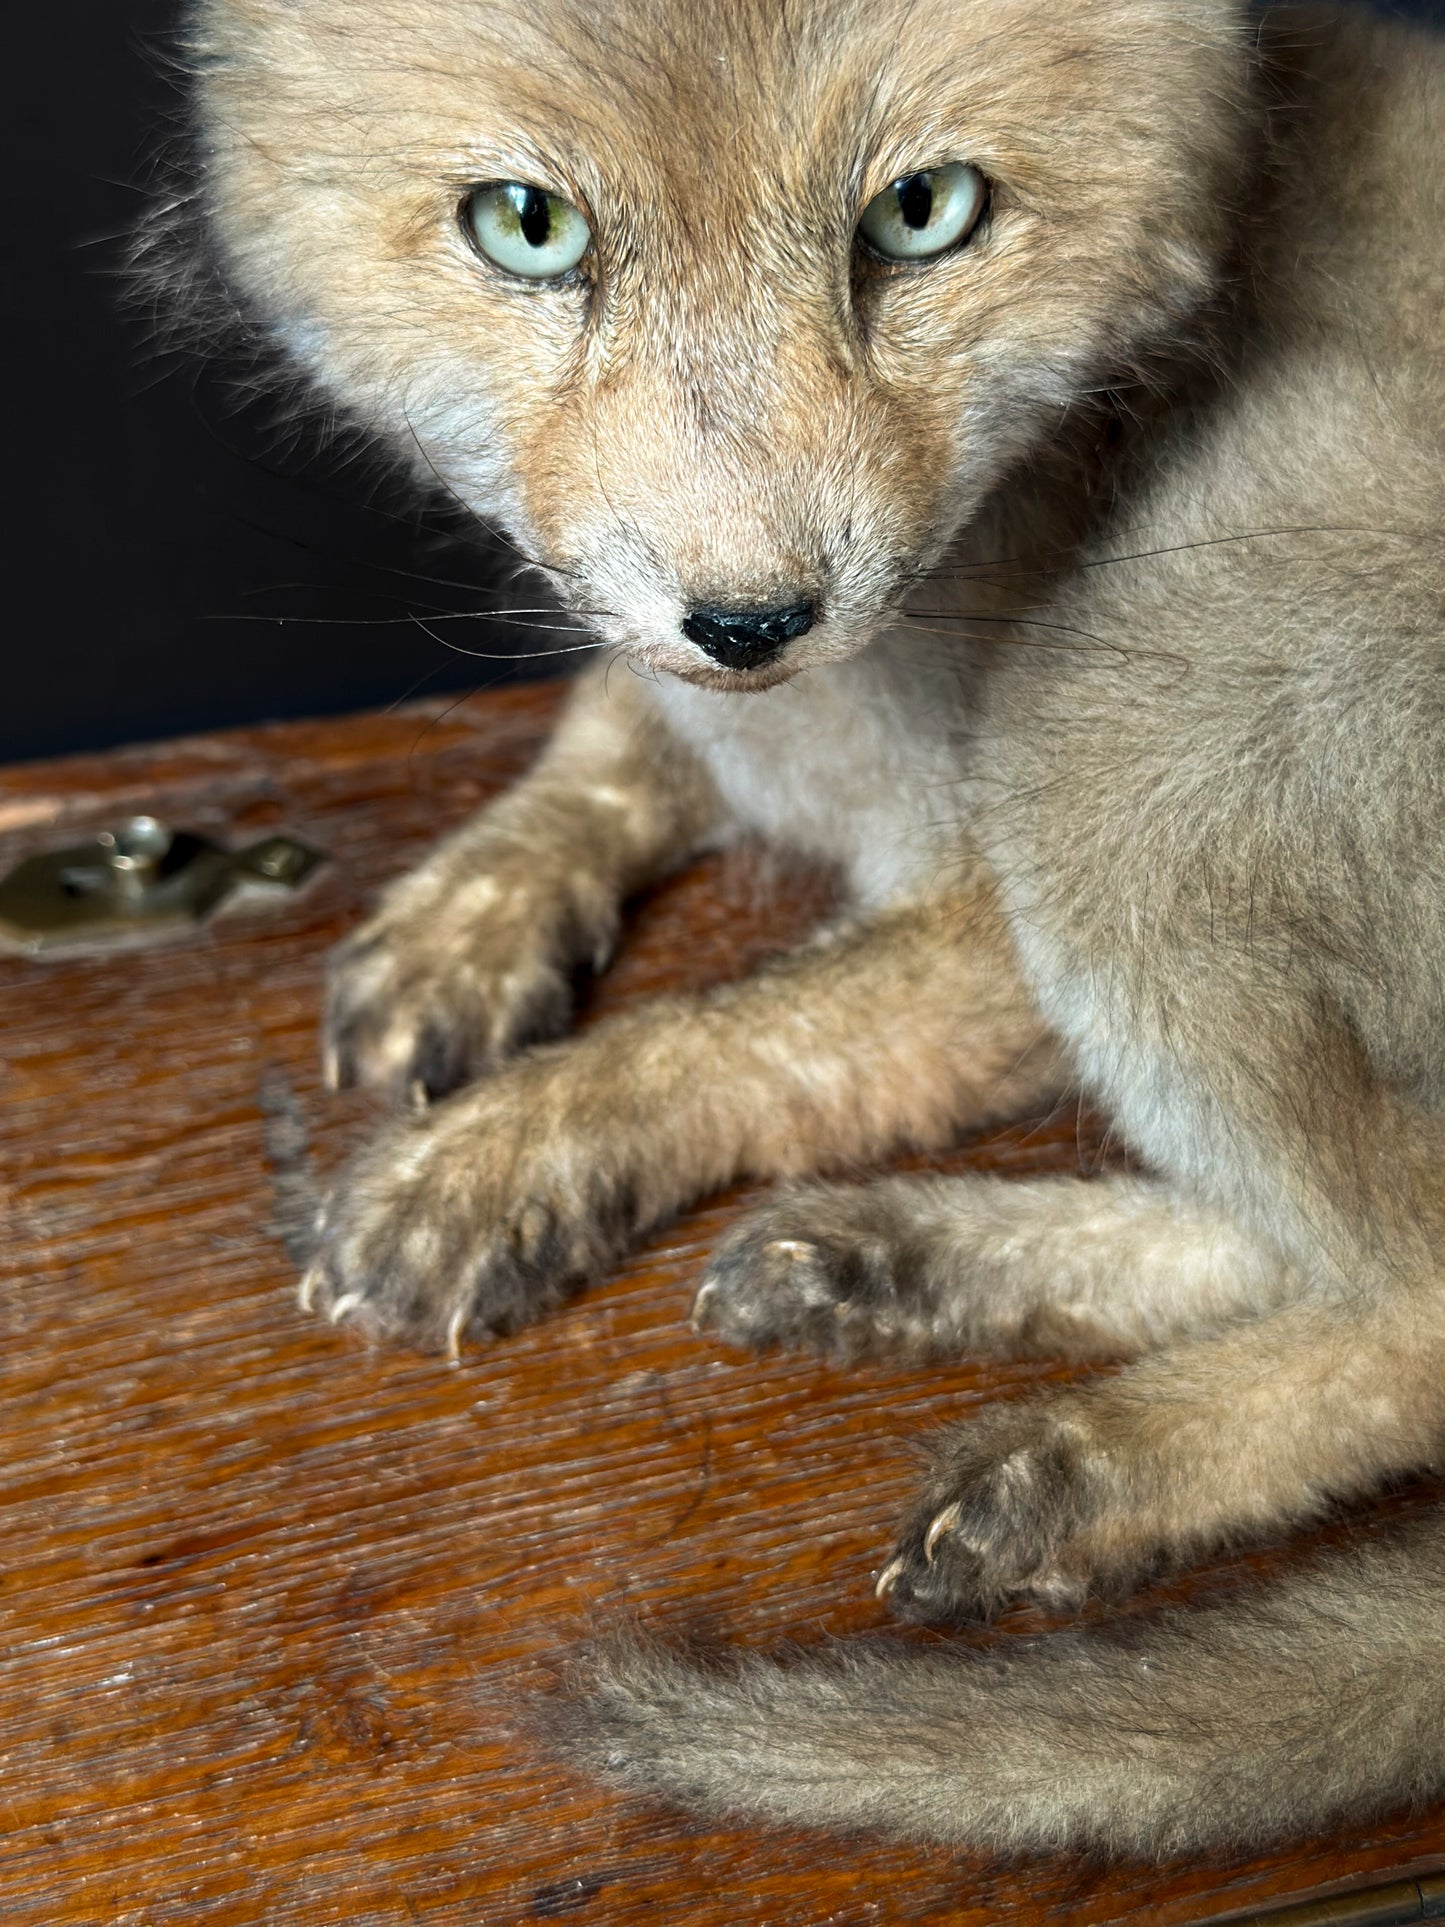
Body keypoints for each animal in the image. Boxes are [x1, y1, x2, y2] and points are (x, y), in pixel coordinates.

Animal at [160, 0, 1445, 1858]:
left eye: (922, 213)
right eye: (527, 228)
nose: (756, 620)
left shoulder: (982, 919)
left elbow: (728, 1032)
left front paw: (500, 1156)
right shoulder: (698, 699)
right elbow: (615, 726)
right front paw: (479, 910)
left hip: (1124, 709)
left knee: (1412, 1292)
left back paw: (1084, 1467)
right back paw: (900, 1266)